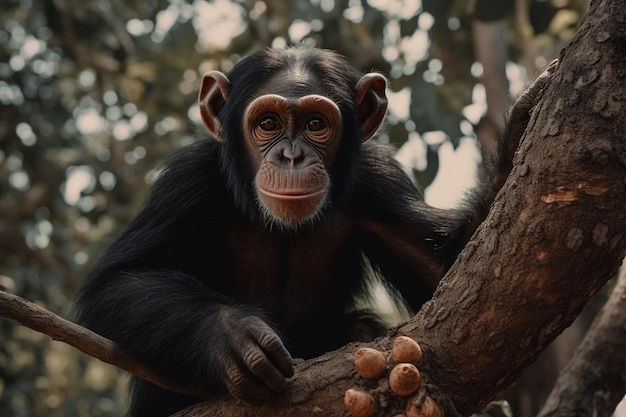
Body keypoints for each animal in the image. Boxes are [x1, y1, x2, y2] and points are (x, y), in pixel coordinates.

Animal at [73, 46, 540, 416]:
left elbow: (446, 274)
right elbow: (121, 279)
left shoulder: (378, 181)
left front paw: (518, 139)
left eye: (316, 124)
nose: (292, 156)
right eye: (267, 124)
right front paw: (229, 334)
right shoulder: (188, 181)